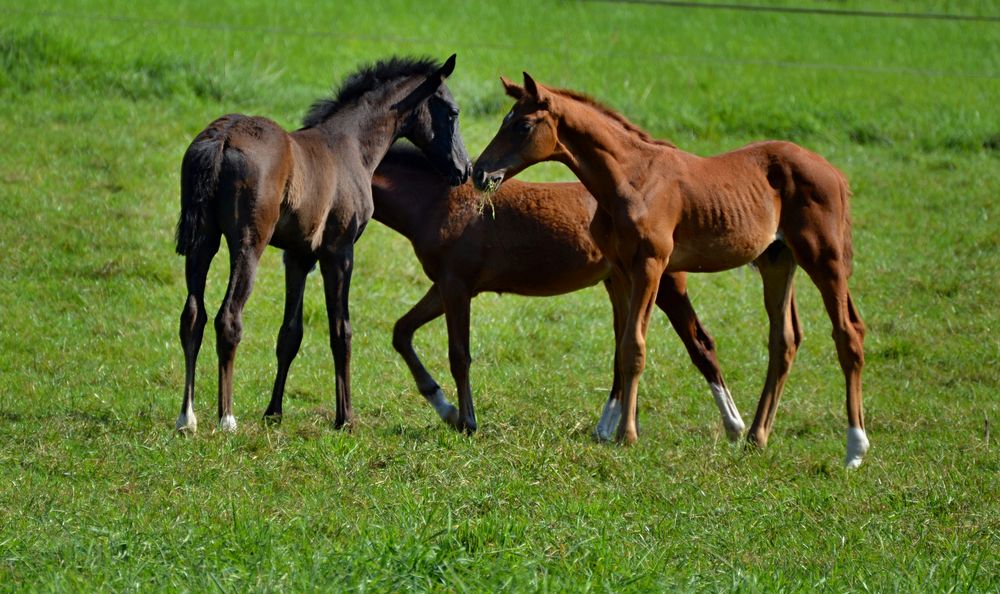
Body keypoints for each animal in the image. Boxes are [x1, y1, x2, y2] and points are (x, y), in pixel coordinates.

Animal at [176, 55, 472, 432]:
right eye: (452, 112)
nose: (464, 169)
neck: (351, 146)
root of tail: (223, 138)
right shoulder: (339, 252)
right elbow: (341, 331)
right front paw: (345, 418)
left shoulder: (298, 256)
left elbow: (290, 334)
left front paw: (274, 412)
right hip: (248, 245)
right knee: (228, 318)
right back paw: (226, 418)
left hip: (203, 242)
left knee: (192, 316)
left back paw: (187, 418)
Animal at [474, 74, 868, 464]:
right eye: (505, 120)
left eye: (523, 125)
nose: (479, 172)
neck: (631, 178)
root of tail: (835, 173)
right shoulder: (620, 272)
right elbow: (622, 347)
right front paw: (619, 428)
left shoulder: (651, 265)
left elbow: (634, 347)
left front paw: (627, 436)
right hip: (777, 260)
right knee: (783, 340)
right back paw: (757, 436)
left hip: (824, 258)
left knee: (847, 334)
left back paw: (854, 449)